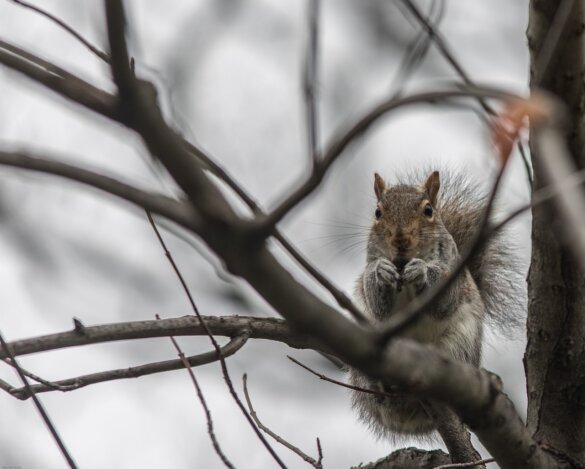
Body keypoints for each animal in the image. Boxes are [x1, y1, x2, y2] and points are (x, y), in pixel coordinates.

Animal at [346, 170, 520, 436]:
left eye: (428, 210)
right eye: (377, 212)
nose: (400, 237)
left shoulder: (453, 272)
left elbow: (443, 304)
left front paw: (422, 271)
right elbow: (378, 305)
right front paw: (381, 271)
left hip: (460, 346)